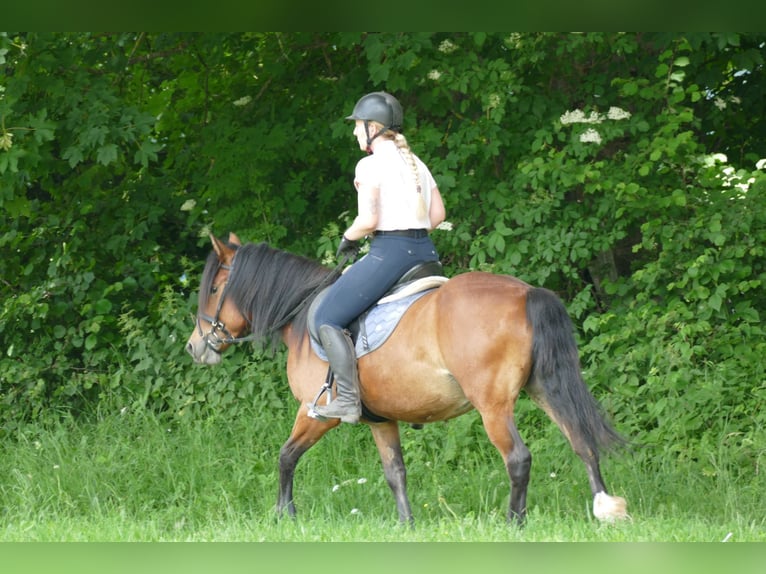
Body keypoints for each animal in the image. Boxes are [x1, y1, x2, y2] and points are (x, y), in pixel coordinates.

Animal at [186, 233, 632, 528]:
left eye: (215, 288)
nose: (195, 347)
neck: (300, 318)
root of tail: (525, 292)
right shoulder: (382, 420)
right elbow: (395, 473)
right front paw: (405, 524)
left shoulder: (317, 413)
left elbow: (286, 456)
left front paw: (284, 514)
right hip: (544, 389)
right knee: (582, 441)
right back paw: (604, 507)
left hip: (492, 405)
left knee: (518, 459)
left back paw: (513, 522)